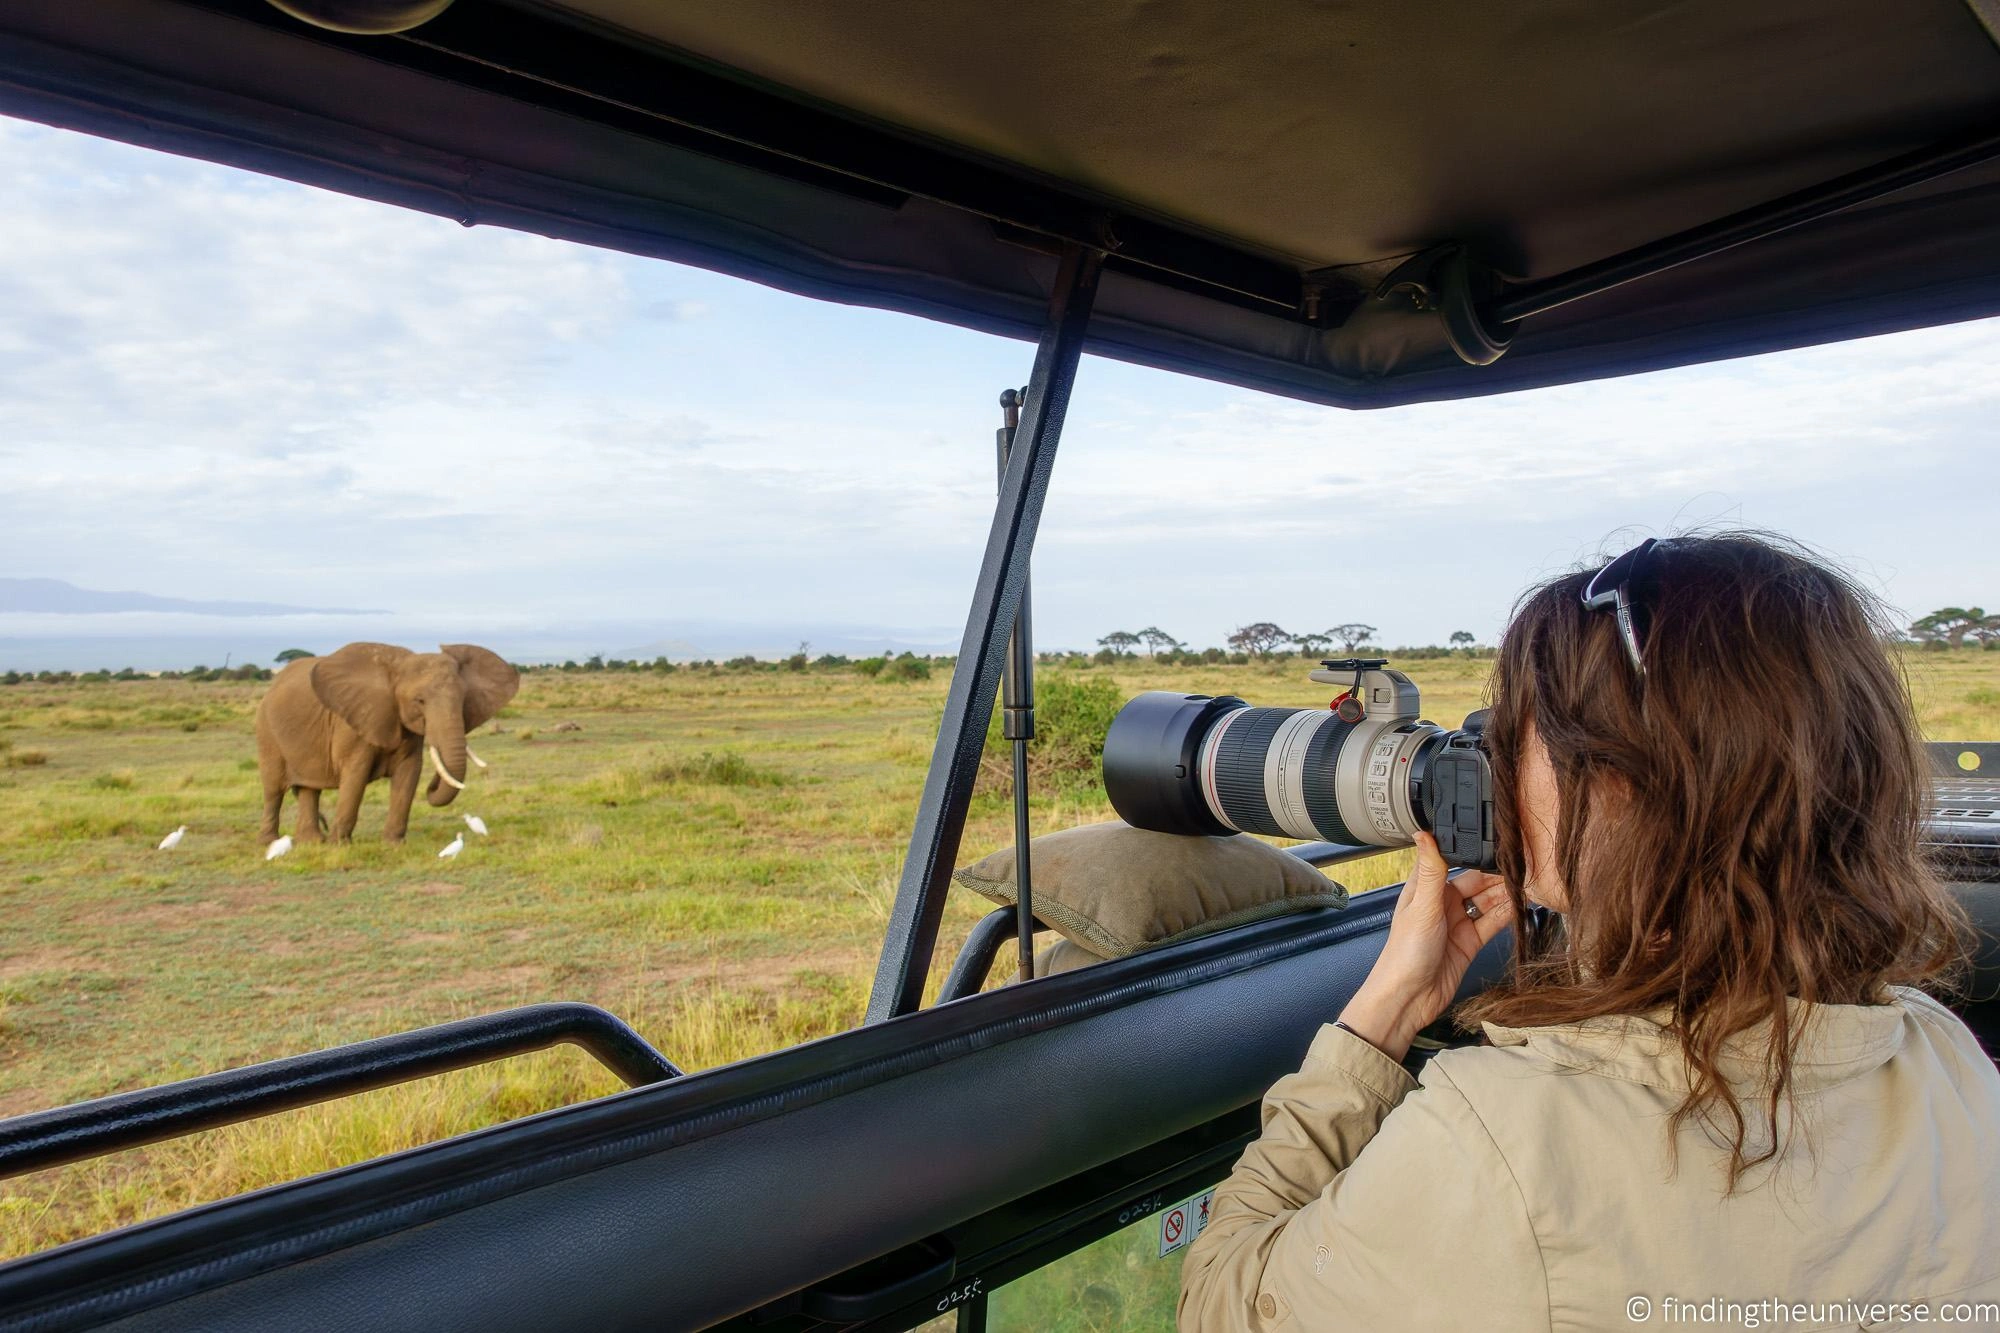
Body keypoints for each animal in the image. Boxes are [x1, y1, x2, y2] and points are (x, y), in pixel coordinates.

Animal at [254, 636, 520, 840]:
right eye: (419, 701)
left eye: (464, 699)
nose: (433, 784)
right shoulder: (352, 723)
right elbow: (355, 776)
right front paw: (340, 845)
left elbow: (409, 774)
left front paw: (393, 844)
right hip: (266, 731)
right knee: (273, 789)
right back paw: (271, 842)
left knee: (309, 789)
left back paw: (311, 843)